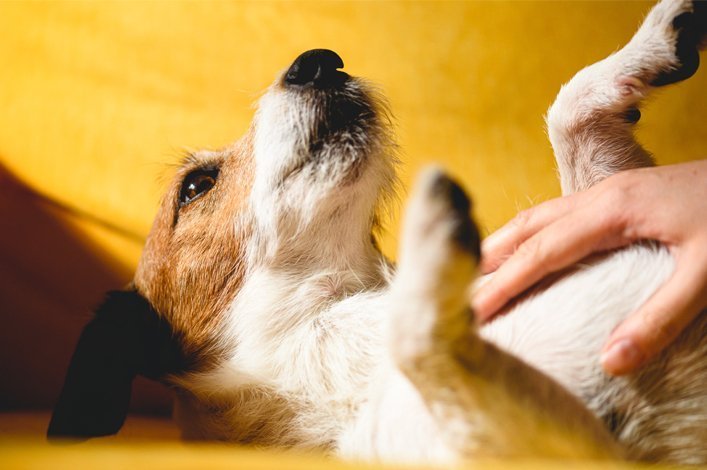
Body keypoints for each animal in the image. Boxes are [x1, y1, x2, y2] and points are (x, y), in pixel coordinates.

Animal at [47, 0, 704, 464]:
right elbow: (417, 338)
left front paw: (648, 44)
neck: (335, 312)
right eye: (195, 186)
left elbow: (571, 120)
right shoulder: (566, 446)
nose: (317, 60)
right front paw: (433, 238)